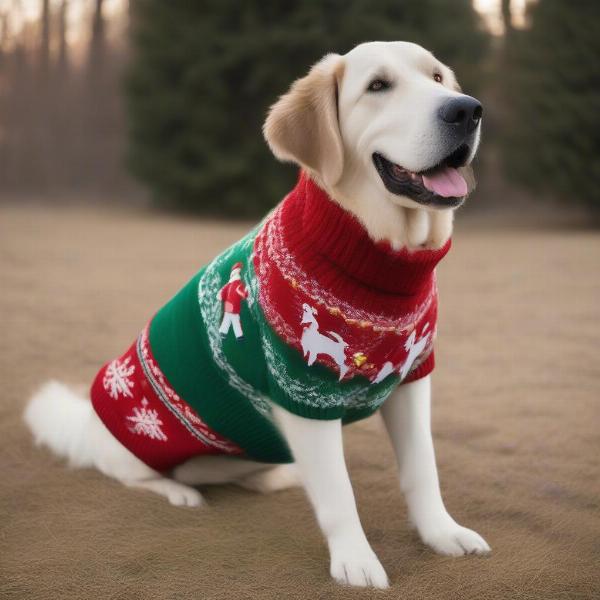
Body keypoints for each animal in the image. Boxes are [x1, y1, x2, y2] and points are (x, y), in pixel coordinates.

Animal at [25, 43, 490, 592]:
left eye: (437, 78)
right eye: (378, 86)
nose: (465, 110)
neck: (377, 258)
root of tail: (87, 420)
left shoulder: (412, 376)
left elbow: (423, 469)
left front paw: (442, 533)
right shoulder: (302, 392)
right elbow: (339, 493)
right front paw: (355, 559)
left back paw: (275, 477)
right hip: (134, 450)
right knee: (135, 476)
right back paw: (179, 492)